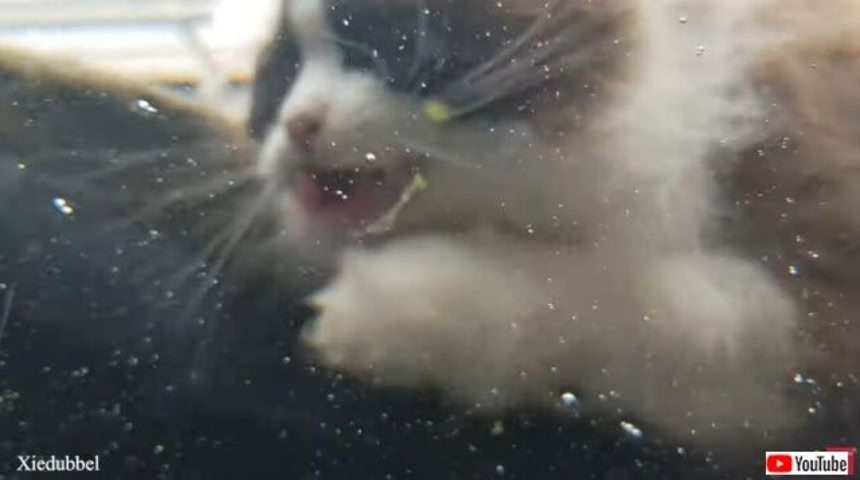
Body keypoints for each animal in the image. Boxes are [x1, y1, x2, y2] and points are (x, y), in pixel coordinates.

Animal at [247, 0, 860, 449]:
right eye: (283, 68)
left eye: (382, 36)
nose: (297, 125)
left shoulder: (815, 322)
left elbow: (612, 304)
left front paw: (382, 309)